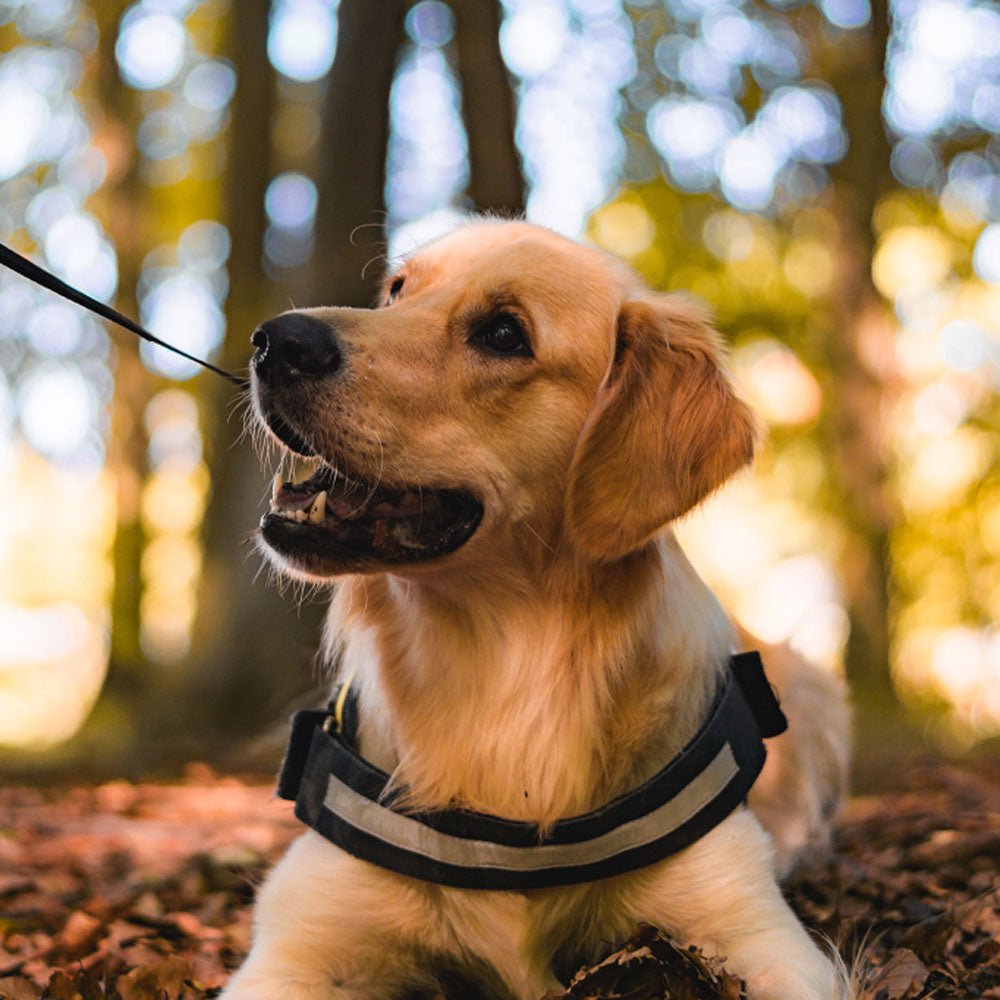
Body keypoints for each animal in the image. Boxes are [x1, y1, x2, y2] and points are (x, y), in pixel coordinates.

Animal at [227, 221, 852, 1000]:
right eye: (399, 290)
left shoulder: (759, 933)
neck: (499, 680)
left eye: (503, 334)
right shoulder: (298, 946)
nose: (277, 341)